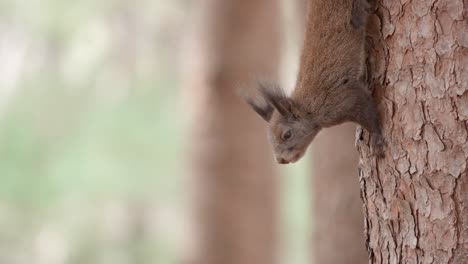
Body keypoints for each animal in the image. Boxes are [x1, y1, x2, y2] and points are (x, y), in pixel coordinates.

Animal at [241, 0, 384, 164]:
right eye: (269, 140)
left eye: (287, 135)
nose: (281, 160)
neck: (307, 109)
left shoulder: (343, 100)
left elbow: (367, 113)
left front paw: (377, 139)